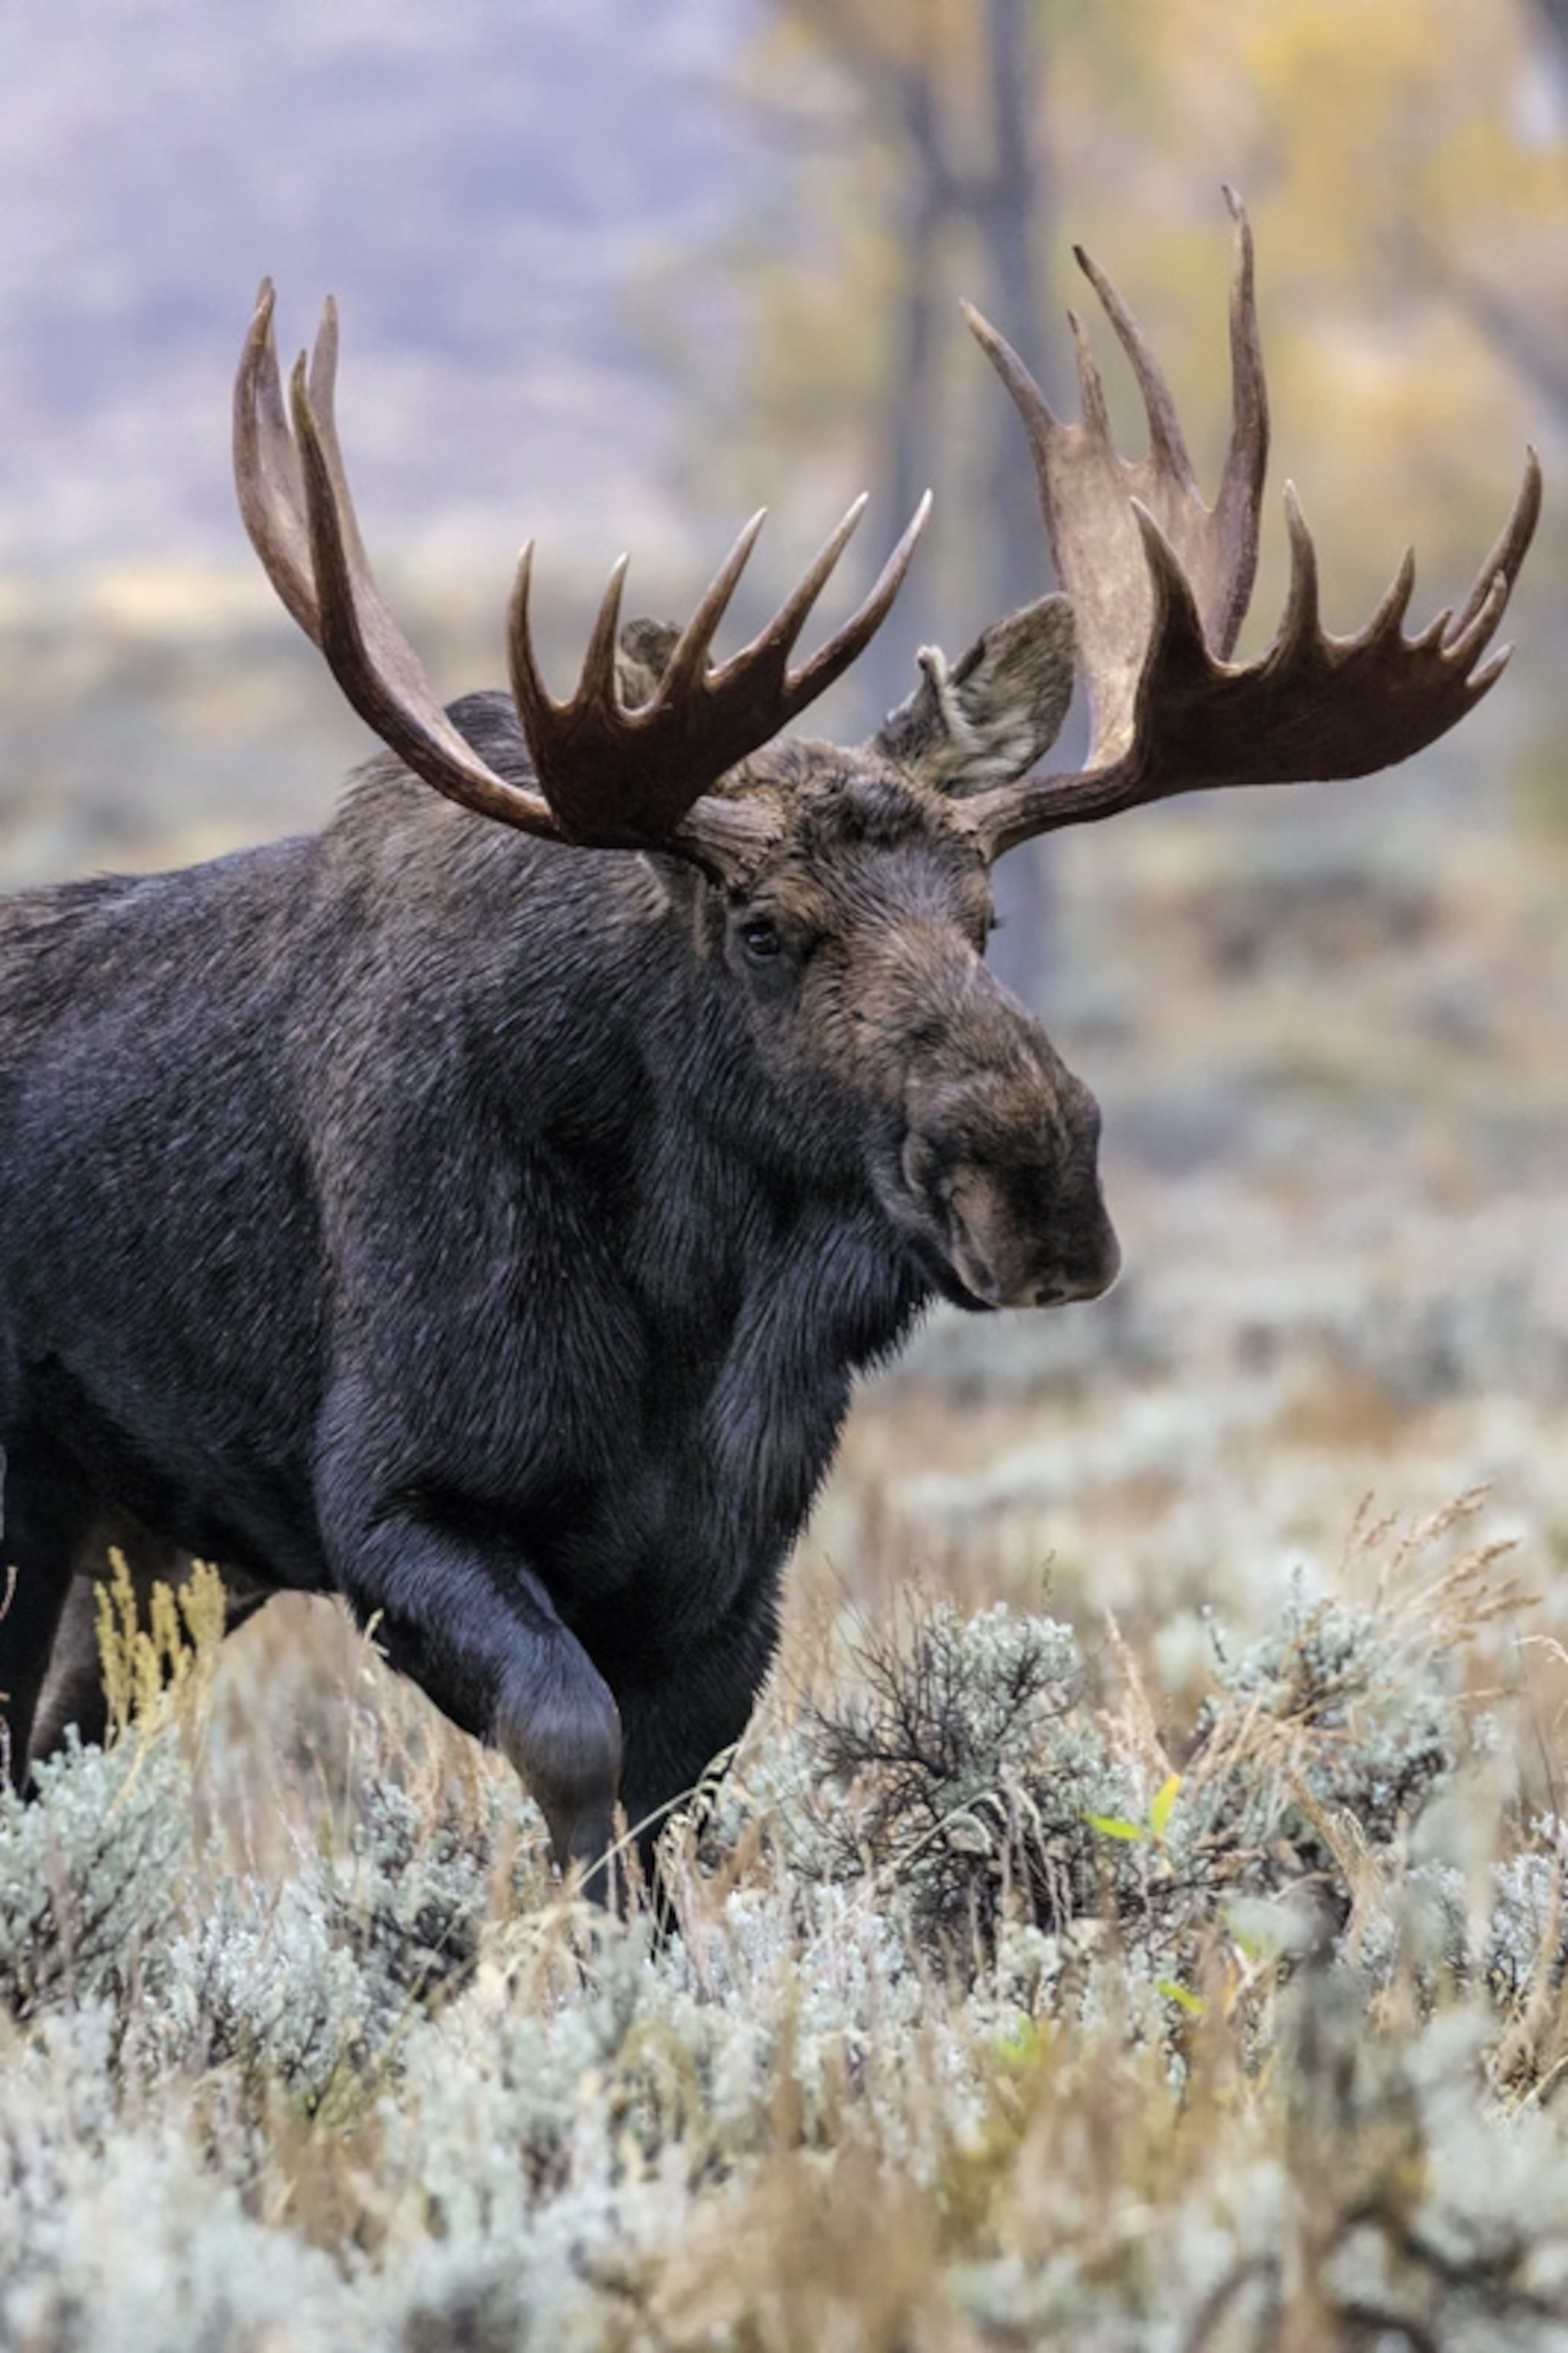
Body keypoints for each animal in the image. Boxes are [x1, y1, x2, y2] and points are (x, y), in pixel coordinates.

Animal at [0, 198, 1534, 1891]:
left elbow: (673, 1800)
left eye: (986, 916)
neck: (690, 1316)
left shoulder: (728, 1569)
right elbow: (575, 1753)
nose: (1041, 1189)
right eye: (762, 929)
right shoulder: (394, 1498)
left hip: (153, 1546)